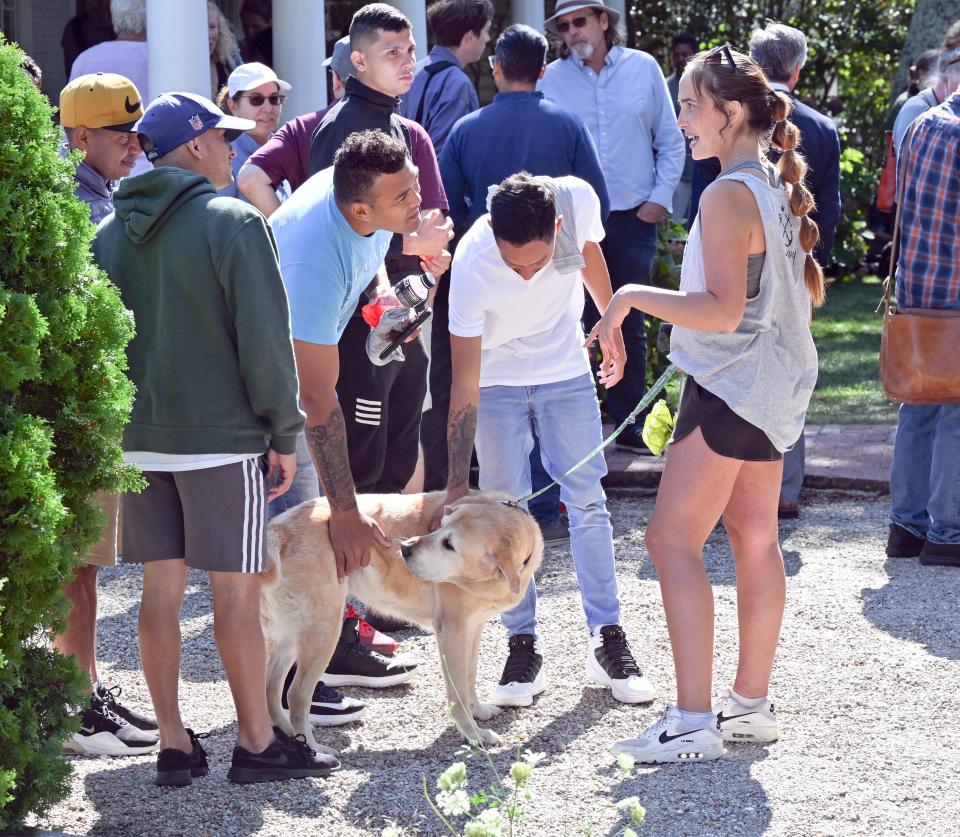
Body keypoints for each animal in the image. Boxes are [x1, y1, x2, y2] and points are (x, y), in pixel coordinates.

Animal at [258, 486, 544, 748]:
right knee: (295, 695)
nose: (405, 548)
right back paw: (313, 751)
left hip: (290, 636)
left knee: (270, 691)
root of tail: (278, 529)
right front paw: (473, 734)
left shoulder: (473, 627)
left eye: (449, 543)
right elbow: (458, 690)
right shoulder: (452, 630)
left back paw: (290, 738)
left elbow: (470, 675)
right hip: (323, 630)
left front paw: (478, 711)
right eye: (441, 527)